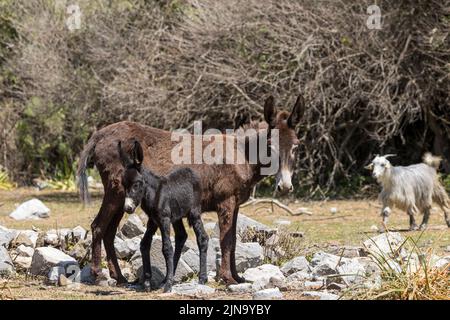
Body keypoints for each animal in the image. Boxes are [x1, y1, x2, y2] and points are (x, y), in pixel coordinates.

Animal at [117, 141, 207, 292]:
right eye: (123, 185)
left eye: (136, 184)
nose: (127, 208)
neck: (153, 194)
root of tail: (191, 171)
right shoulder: (153, 221)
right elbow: (144, 244)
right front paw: (147, 282)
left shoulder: (163, 220)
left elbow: (166, 248)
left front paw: (168, 286)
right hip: (176, 217)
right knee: (181, 236)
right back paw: (166, 278)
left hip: (194, 212)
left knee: (202, 238)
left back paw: (202, 278)